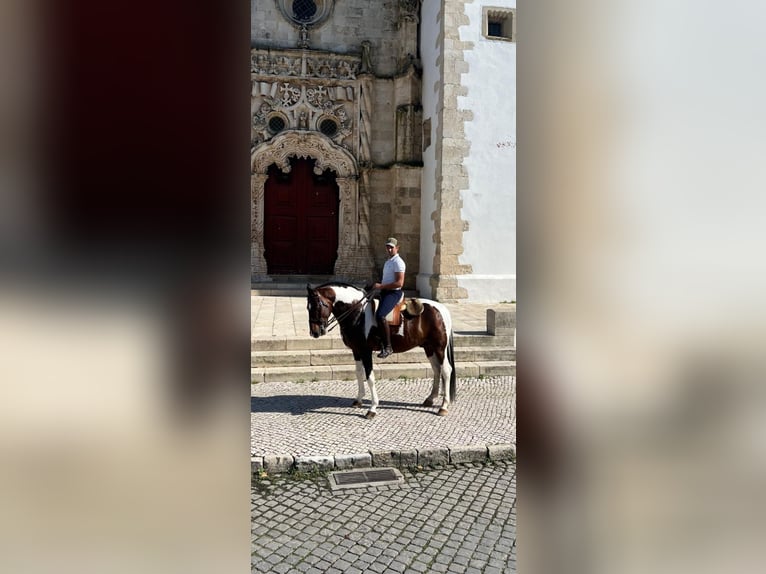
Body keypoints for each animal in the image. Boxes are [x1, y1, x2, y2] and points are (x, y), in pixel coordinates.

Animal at [306, 282, 456, 418]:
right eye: (308, 307)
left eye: (318, 305)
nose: (315, 332)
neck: (358, 312)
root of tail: (442, 309)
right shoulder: (356, 351)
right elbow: (359, 373)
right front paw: (358, 400)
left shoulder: (366, 351)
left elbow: (370, 377)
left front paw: (372, 408)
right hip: (429, 347)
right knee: (436, 370)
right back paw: (430, 399)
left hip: (439, 347)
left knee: (446, 370)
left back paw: (443, 406)